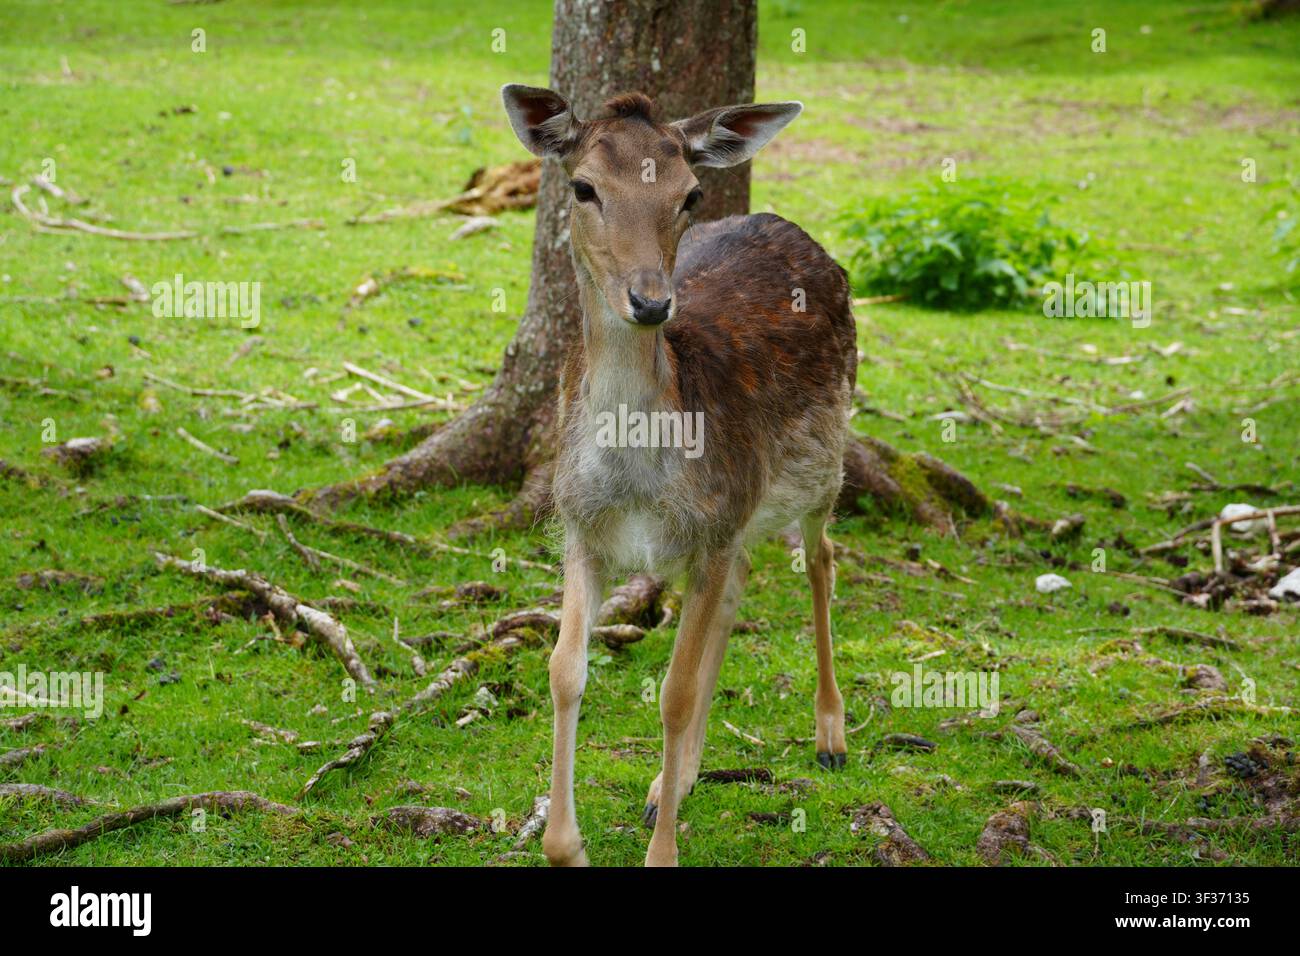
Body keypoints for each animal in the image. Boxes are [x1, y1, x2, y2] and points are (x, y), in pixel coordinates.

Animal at [501, 84, 857, 867]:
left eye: (689, 194)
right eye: (584, 187)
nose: (652, 302)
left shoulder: (715, 522)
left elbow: (677, 691)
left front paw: (661, 853)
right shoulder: (581, 525)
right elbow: (565, 670)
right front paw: (567, 845)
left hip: (822, 460)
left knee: (820, 558)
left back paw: (830, 735)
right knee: (740, 585)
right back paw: (676, 780)